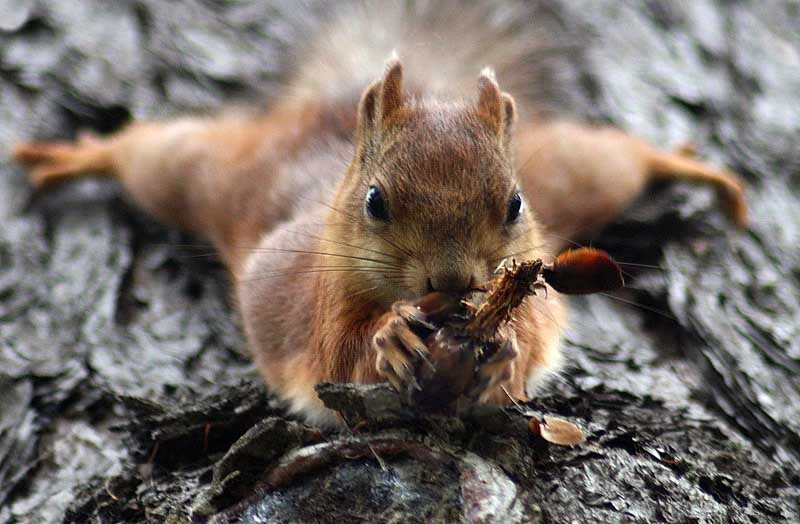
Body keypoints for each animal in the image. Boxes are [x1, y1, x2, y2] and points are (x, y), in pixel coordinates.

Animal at [10, 3, 746, 426]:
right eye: (375, 203)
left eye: (514, 204)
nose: (451, 282)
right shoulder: (317, 299)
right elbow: (338, 349)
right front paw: (388, 337)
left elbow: (539, 330)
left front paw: (508, 349)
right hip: (201, 176)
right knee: (152, 153)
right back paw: (79, 156)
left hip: (570, 171)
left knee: (622, 158)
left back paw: (704, 173)